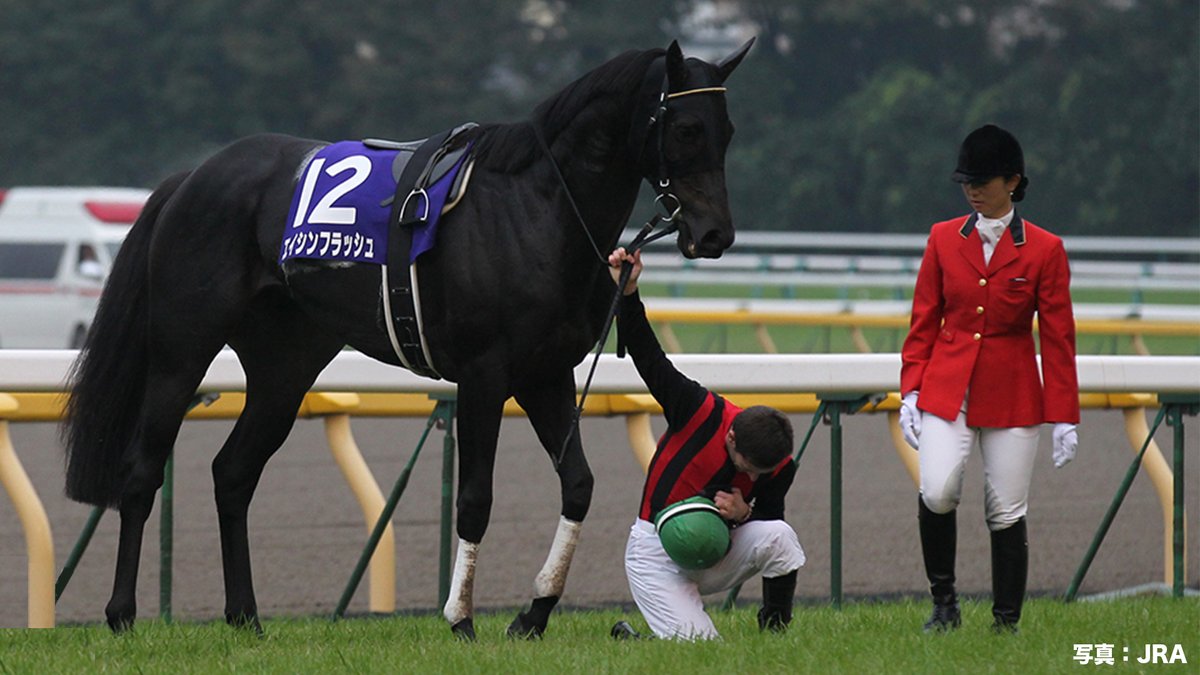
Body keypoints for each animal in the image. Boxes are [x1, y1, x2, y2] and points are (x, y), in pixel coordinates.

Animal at [62, 38, 753, 639]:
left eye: (727, 131)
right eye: (686, 129)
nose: (715, 234)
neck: (536, 208)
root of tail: (192, 176)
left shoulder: (546, 374)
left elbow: (578, 485)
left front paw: (532, 614)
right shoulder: (483, 375)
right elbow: (475, 498)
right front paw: (461, 619)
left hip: (285, 369)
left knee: (233, 473)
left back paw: (246, 618)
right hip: (180, 354)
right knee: (140, 472)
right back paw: (122, 615)